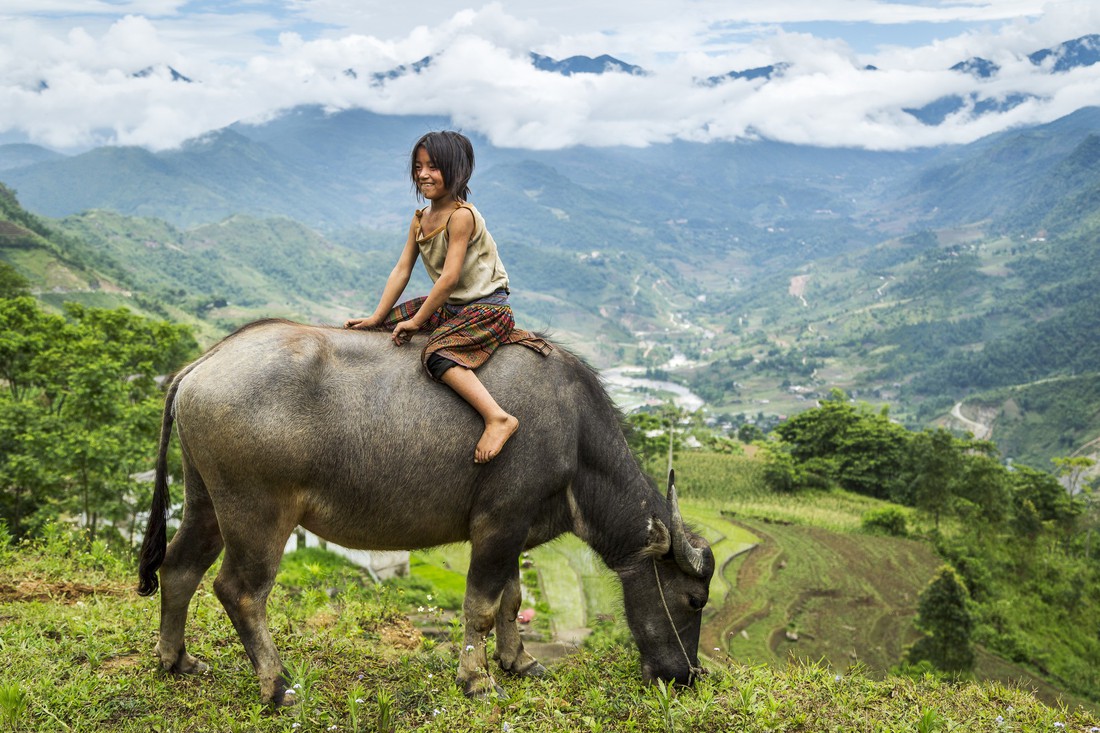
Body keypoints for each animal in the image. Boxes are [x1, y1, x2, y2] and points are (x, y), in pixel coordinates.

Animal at [135, 319, 712, 704]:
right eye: (693, 599)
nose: (685, 675)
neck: (574, 435)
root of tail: (203, 364)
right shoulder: (498, 524)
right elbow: (481, 605)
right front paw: (476, 679)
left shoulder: (517, 531)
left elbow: (512, 597)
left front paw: (519, 661)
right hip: (258, 512)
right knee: (239, 590)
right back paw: (277, 686)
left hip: (206, 500)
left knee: (180, 567)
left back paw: (176, 660)